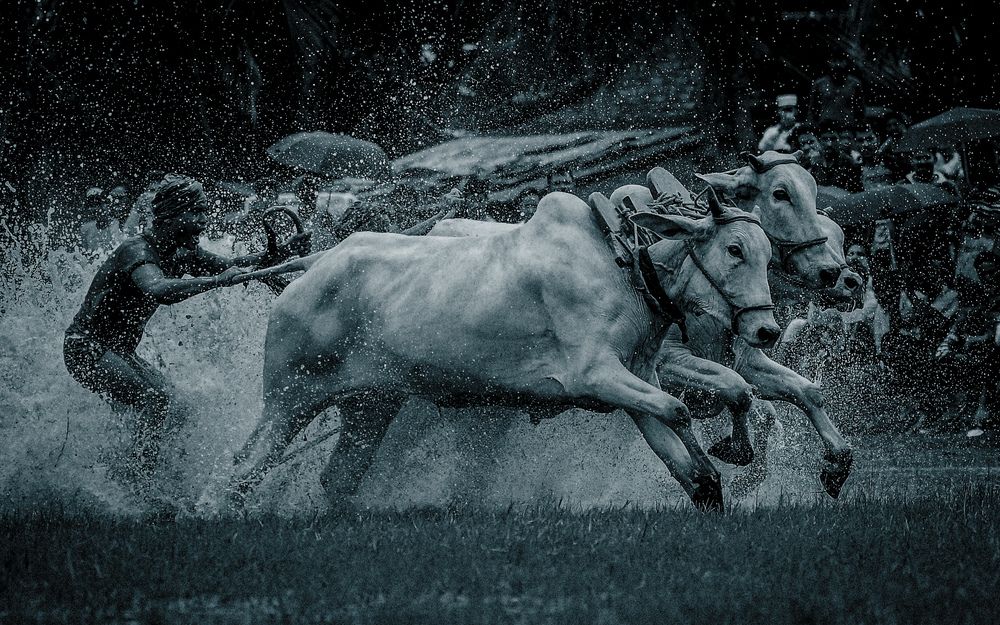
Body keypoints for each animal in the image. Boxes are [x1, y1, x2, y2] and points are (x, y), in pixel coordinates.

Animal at [215, 190, 780, 513]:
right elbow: (682, 409)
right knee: (241, 470)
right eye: (734, 249)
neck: (622, 263)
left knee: (339, 478)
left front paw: (718, 471)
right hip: (290, 398)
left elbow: (697, 433)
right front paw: (727, 453)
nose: (768, 331)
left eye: (767, 251)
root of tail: (311, 268)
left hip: (370, 406)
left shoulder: (636, 380)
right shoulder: (595, 375)